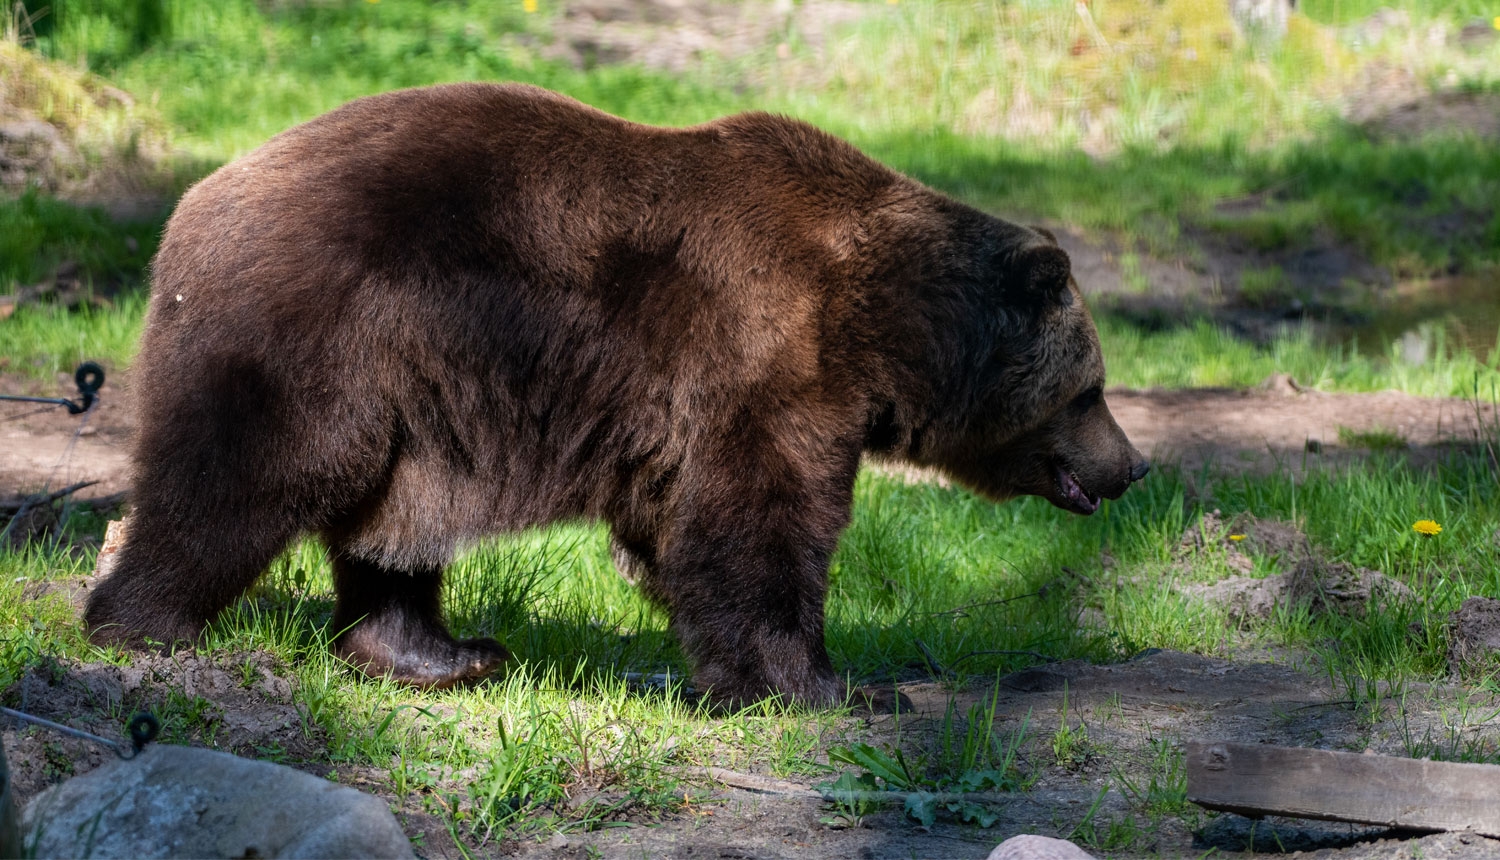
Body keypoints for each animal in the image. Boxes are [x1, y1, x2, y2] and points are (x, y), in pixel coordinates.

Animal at [85, 83, 1146, 708]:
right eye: (1093, 390)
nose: (1133, 464)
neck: (880, 319)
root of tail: (191, 208)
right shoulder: (765, 361)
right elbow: (758, 526)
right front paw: (829, 685)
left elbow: (685, 530)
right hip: (322, 338)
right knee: (242, 482)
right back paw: (143, 626)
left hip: (413, 399)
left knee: (393, 531)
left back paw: (441, 651)